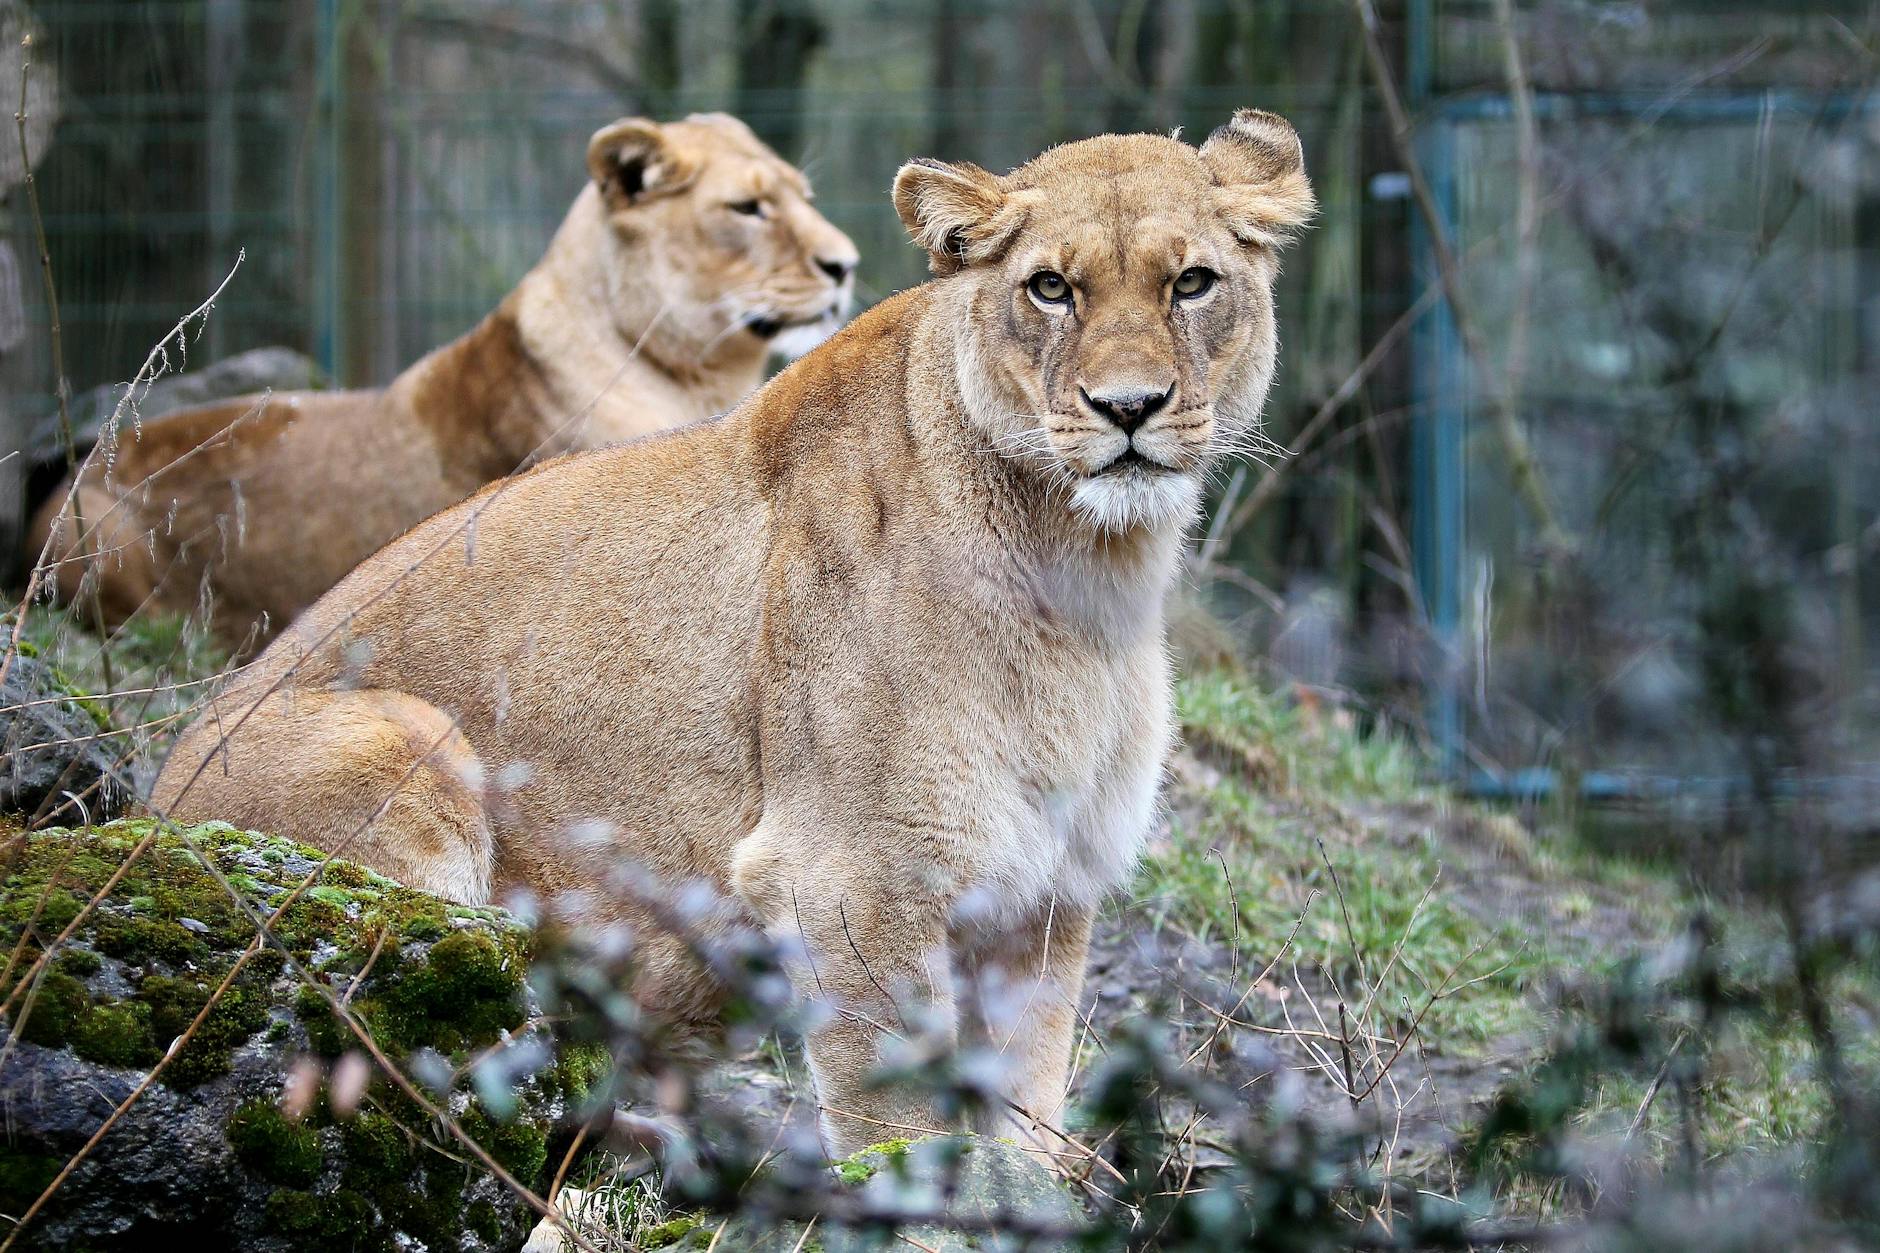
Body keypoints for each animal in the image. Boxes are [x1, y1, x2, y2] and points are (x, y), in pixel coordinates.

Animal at [30, 113, 858, 648]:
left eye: (804, 196)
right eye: (747, 208)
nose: (845, 264)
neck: (695, 376)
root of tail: (66, 472)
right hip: (98, 537)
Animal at [149, 110, 1314, 1156]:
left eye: (1192, 283)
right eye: (1050, 288)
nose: (1128, 407)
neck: (1088, 569)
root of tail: (142, 800)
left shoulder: (1044, 897)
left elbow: (1028, 1132)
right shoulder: (850, 876)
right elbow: (902, 1129)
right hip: (405, 740)